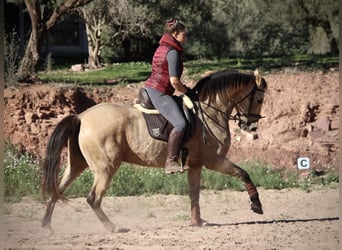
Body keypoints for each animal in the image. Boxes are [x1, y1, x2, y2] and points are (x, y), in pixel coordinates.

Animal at [41, 69, 268, 232]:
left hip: (77, 165)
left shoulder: (196, 165)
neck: (208, 112)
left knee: (57, 190)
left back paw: (47, 226)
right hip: (106, 168)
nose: (251, 127)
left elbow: (194, 193)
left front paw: (197, 221)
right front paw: (256, 205)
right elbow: (243, 173)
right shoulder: (214, 160)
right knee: (92, 198)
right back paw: (112, 227)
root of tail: (81, 117)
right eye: (259, 100)